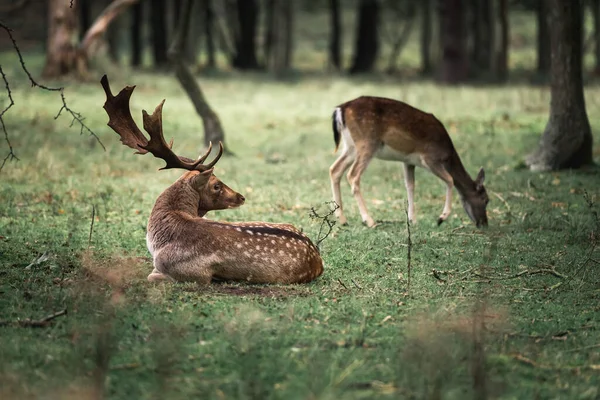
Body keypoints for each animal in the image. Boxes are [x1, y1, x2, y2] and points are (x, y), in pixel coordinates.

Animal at [100, 76, 324, 284]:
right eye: (216, 185)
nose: (241, 197)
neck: (158, 242)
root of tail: (318, 261)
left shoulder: (193, 272)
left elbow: (151, 275)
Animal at [330, 96, 490, 228]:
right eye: (486, 199)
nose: (484, 223)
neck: (447, 154)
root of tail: (341, 109)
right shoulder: (430, 158)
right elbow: (450, 179)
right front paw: (441, 218)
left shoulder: (408, 161)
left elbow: (410, 185)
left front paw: (412, 219)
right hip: (367, 142)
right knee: (352, 175)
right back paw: (369, 221)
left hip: (351, 146)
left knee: (334, 169)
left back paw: (342, 219)